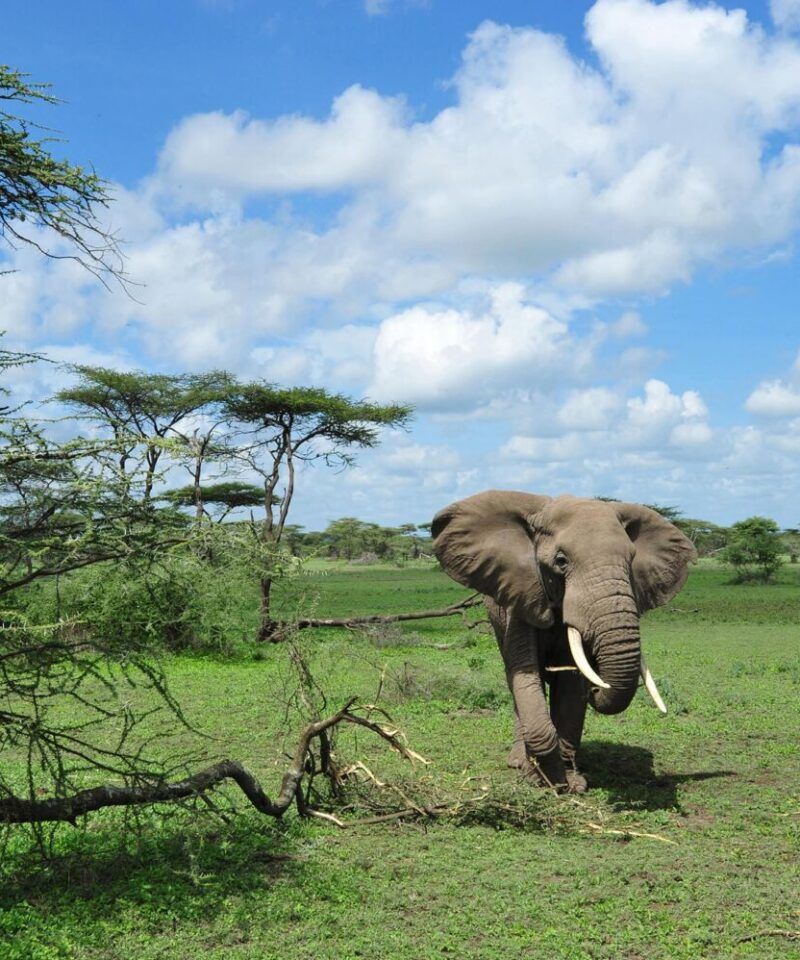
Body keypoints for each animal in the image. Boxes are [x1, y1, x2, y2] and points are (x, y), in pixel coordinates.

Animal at [431, 490, 696, 793]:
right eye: (561, 561)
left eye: (631, 560)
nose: (596, 688)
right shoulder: (521, 595)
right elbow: (526, 676)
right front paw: (543, 779)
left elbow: (571, 684)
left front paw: (571, 782)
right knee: (513, 680)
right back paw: (516, 760)